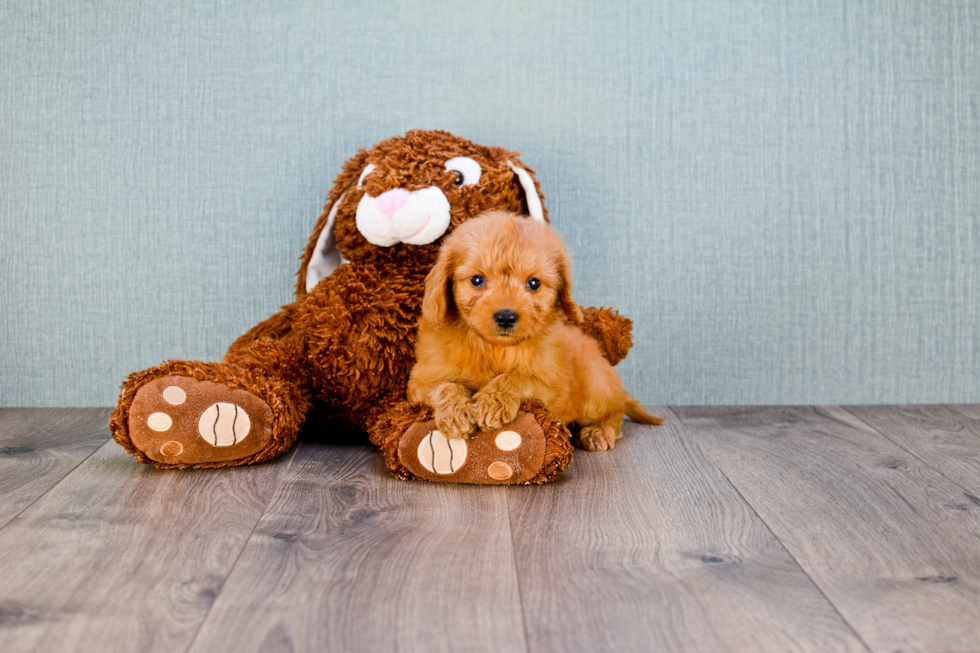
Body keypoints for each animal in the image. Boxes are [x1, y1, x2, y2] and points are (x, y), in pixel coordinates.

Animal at [402, 211, 664, 450]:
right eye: (477, 280)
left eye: (534, 283)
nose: (506, 317)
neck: (493, 347)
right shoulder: (420, 381)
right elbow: (445, 386)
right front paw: (456, 413)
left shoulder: (553, 385)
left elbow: (518, 378)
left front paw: (493, 401)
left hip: (595, 390)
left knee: (615, 412)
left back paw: (599, 431)